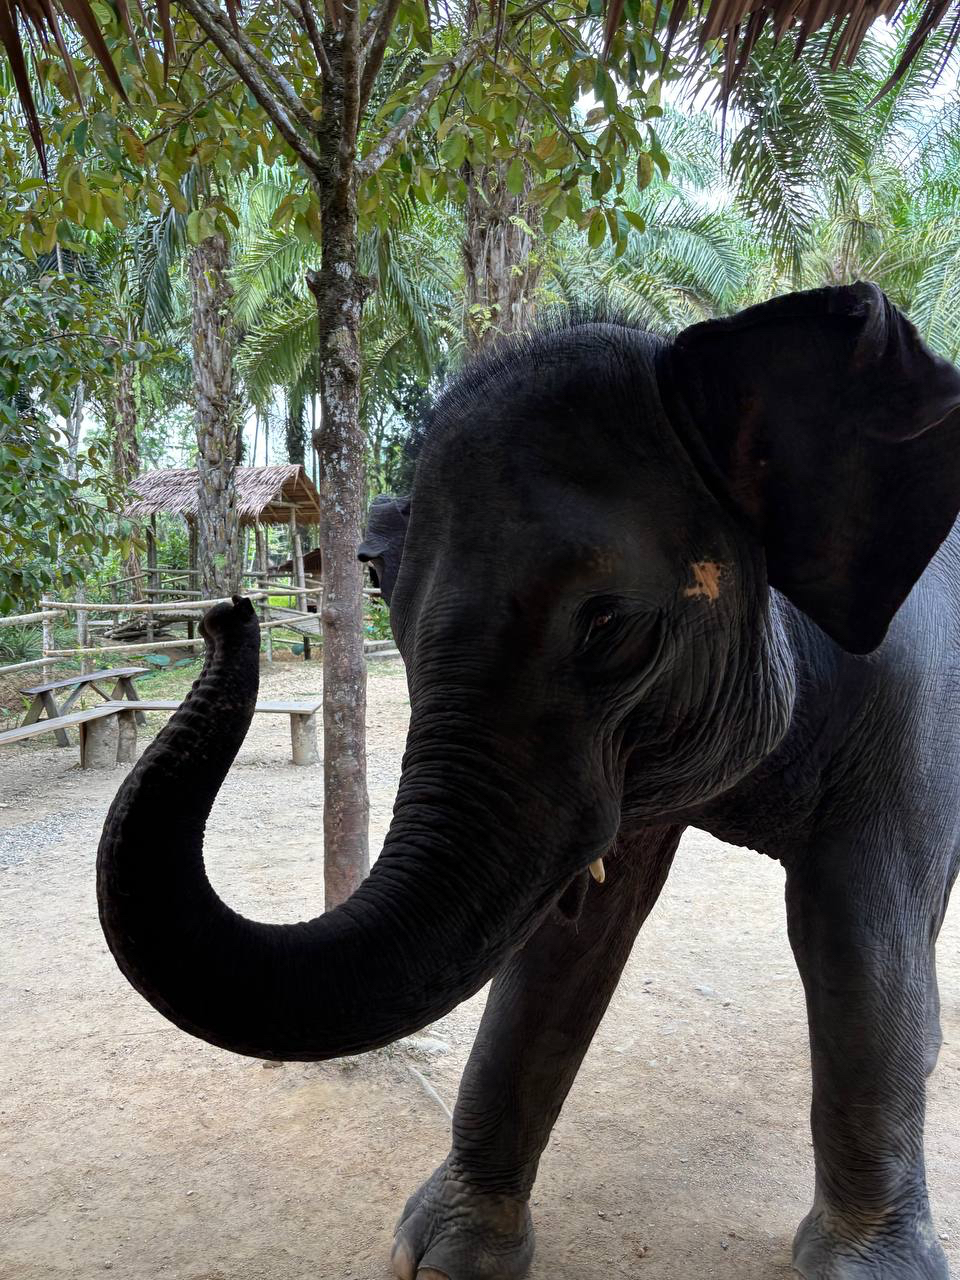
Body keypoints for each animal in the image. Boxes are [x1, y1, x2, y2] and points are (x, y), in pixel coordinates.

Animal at [96, 281, 960, 1280]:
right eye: (384, 592)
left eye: (608, 626)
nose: (227, 612)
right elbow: (568, 939)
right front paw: (445, 1255)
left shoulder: (912, 696)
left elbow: (855, 934)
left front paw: (868, 1269)